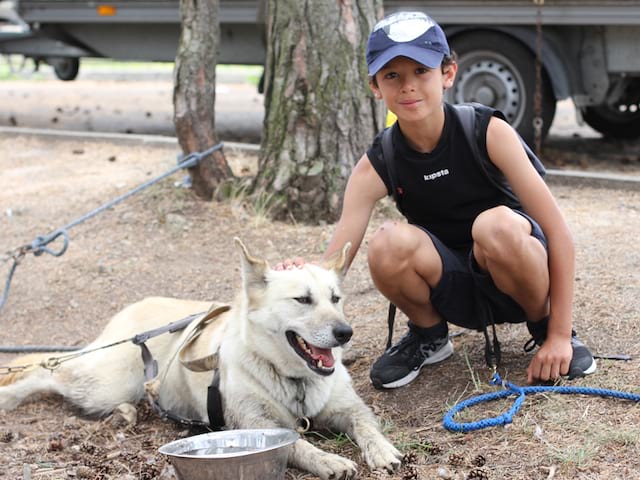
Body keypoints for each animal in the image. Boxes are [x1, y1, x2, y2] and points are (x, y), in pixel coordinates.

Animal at [0, 238, 400, 478]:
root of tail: (134, 309)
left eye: (335, 298)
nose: (345, 333)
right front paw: (329, 459)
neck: (294, 380)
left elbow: (367, 426)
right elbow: (298, 444)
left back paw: (126, 413)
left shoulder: (349, 408)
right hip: (103, 383)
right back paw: (11, 395)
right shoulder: (255, 424)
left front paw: (383, 450)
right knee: (46, 371)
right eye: (302, 300)